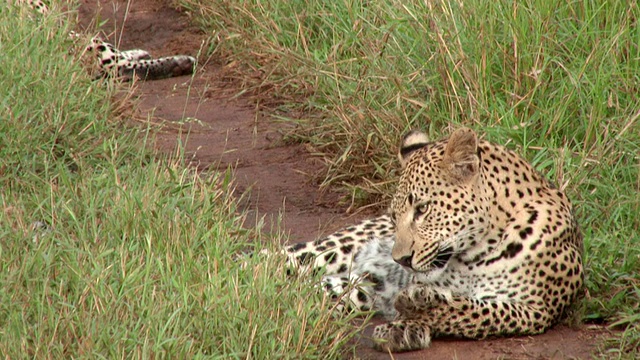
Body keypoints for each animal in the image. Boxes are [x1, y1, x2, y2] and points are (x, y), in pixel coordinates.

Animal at [282, 128, 584, 352]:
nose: (400, 260)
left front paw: (412, 318)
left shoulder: (536, 309)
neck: (477, 252)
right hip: (333, 249)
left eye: (423, 209)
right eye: (395, 216)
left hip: (352, 288)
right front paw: (412, 313)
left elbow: (473, 311)